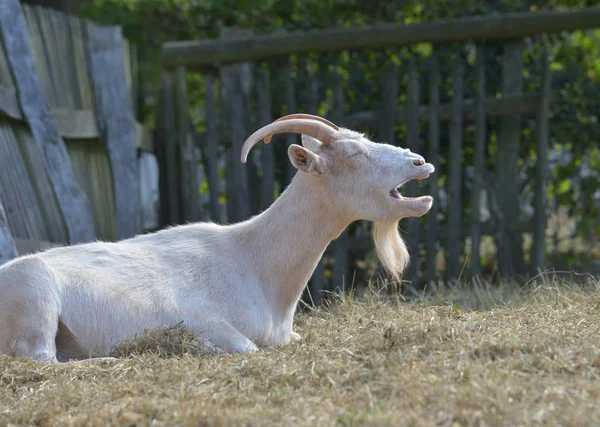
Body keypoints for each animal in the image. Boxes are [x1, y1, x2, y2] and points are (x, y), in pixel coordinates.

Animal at [0, 112, 434, 362]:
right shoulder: (200, 317)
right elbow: (245, 346)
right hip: (34, 293)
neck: (255, 261)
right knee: (40, 358)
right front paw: (195, 347)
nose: (420, 162)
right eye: (354, 154)